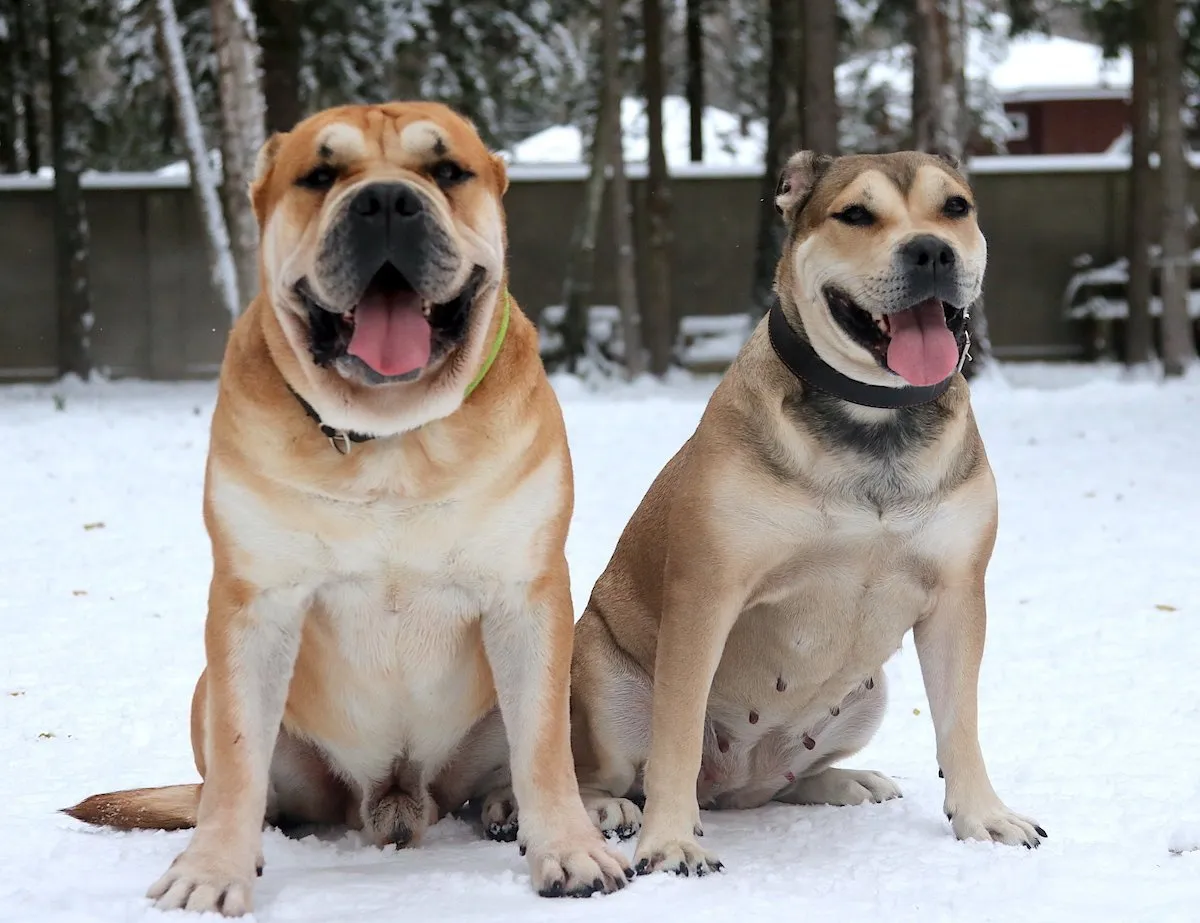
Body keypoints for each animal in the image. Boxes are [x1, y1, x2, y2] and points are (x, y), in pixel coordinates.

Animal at [63, 102, 628, 912]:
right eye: (319, 175)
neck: (390, 439)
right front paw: (212, 871)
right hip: (216, 694)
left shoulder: (527, 595)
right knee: (234, 784)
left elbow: (545, 744)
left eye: (446, 170)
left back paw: (529, 806)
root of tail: (396, 798)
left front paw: (570, 848)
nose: (386, 201)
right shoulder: (254, 605)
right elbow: (237, 755)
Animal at [566, 151, 1046, 878]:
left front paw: (983, 816)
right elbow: (675, 731)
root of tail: (735, 778)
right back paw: (610, 810)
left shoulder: (957, 596)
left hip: (869, 692)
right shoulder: (706, 594)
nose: (931, 250)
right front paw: (670, 840)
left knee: (784, 782)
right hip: (604, 679)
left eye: (955, 207)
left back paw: (846, 780)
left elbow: (959, 719)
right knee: (607, 768)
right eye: (856, 214)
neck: (872, 413)